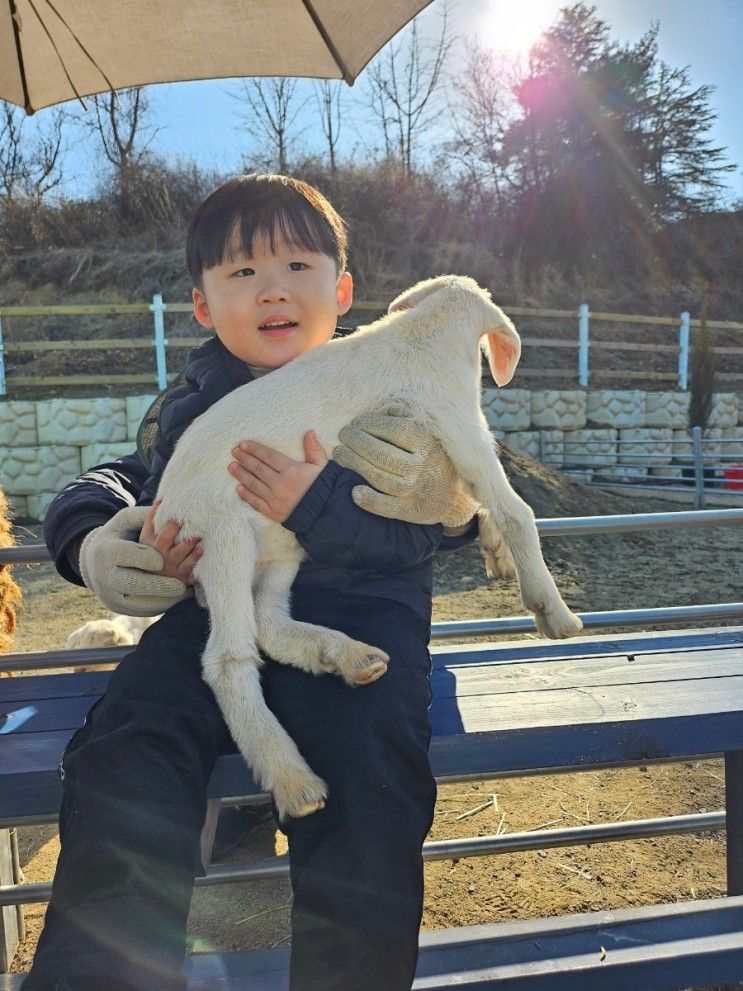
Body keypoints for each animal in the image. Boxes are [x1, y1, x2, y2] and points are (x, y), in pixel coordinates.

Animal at [154, 278, 584, 820]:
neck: (424, 333)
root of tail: (165, 508)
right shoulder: (460, 425)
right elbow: (515, 510)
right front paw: (555, 614)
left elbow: (471, 497)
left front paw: (496, 553)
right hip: (222, 539)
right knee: (227, 660)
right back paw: (295, 782)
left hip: (282, 547)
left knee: (268, 624)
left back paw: (349, 656)